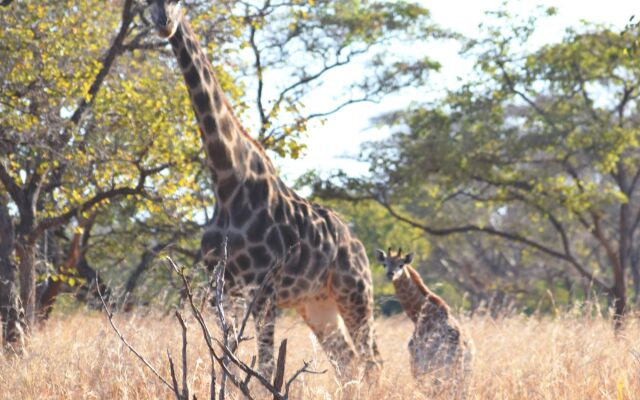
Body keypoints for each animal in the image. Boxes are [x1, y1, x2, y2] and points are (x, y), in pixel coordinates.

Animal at [148, 0, 380, 382]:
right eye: (144, 4)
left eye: (182, 3)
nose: (164, 24)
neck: (227, 180)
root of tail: (358, 244)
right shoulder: (224, 291)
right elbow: (226, 360)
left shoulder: (264, 289)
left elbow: (267, 367)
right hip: (316, 304)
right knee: (347, 361)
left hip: (356, 294)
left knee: (371, 360)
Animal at [372, 248, 472, 386]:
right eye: (384, 264)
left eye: (401, 264)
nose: (390, 274)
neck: (418, 314)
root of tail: (460, 348)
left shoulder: (415, 360)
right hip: (463, 371)